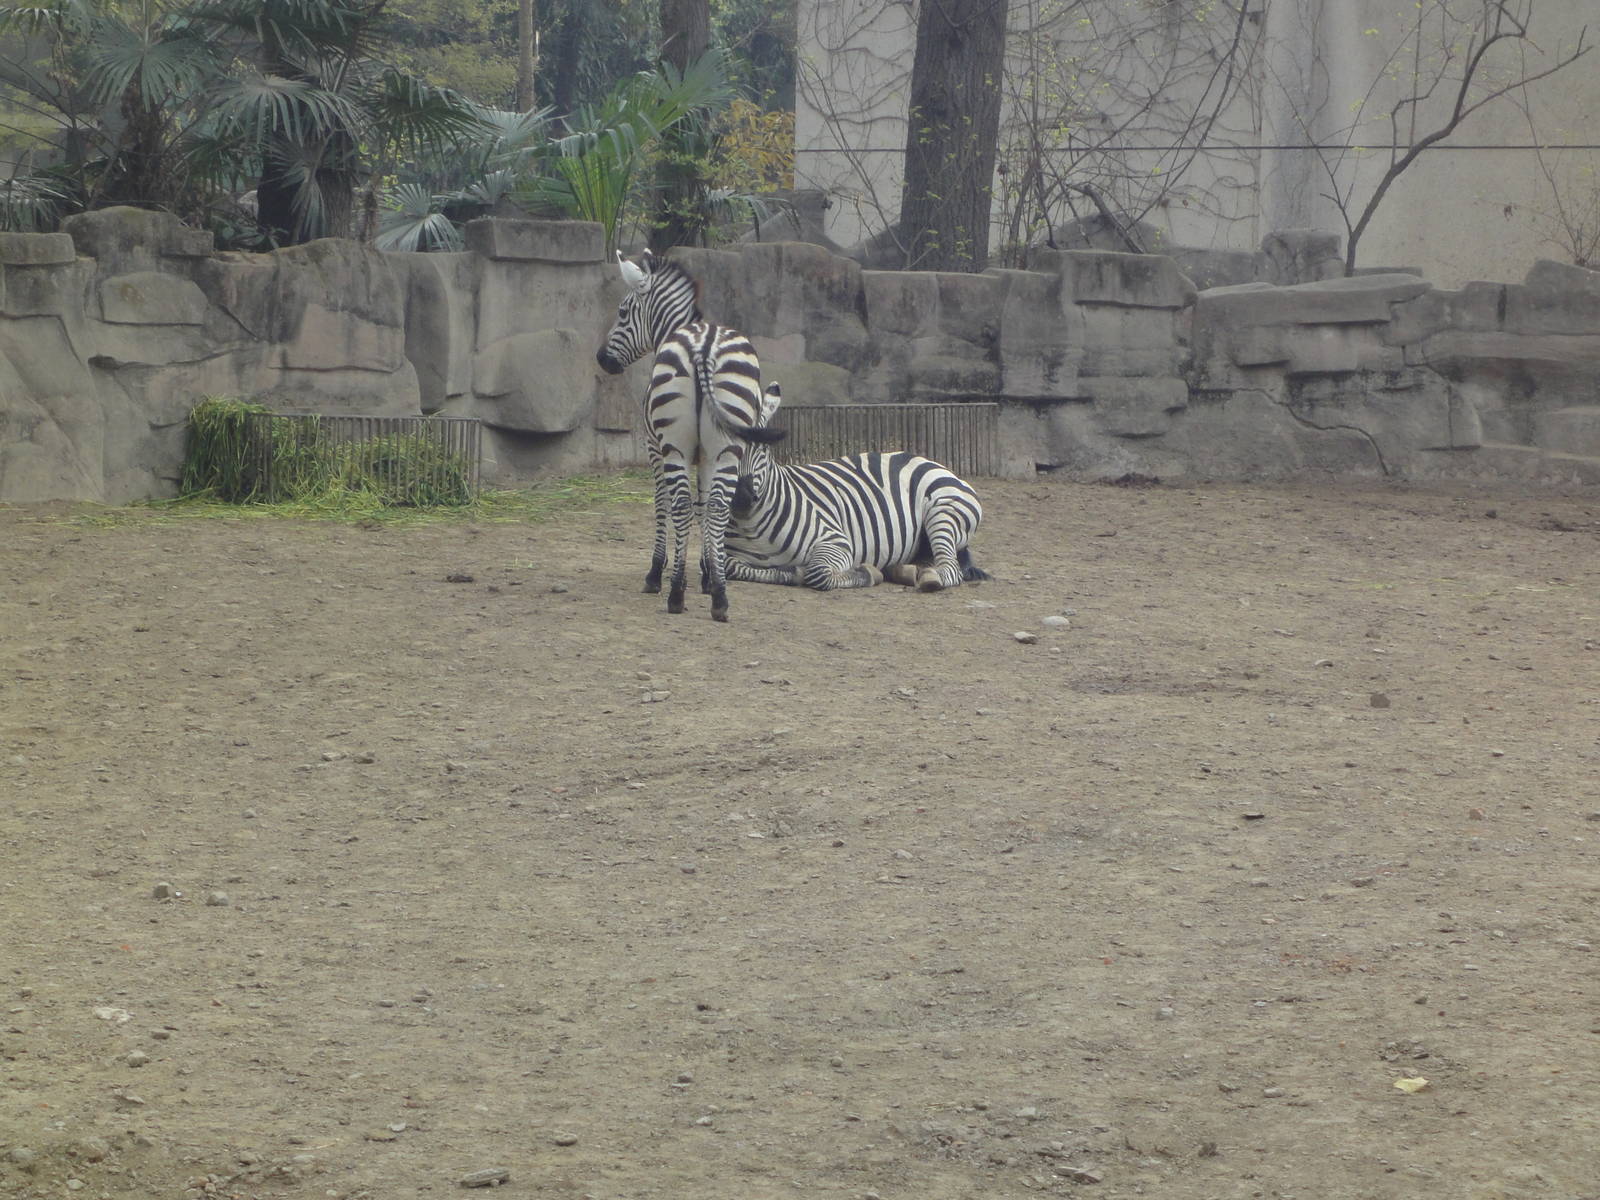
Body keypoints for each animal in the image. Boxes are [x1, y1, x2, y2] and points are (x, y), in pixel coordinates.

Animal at [595, 249, 782, 622]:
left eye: (622, 312)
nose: (601, 359)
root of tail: (704, 344)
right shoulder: (707, 454)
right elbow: (705, 504)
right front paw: (710, 575)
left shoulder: (654, 448)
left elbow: (664, 503)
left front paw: (657, 572)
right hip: (727, 444)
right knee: (720, 505)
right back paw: (720, 599)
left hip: (674, 446)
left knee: (678, 505)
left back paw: (675, 594)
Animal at [726, 383, 991, 592]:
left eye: (763, 448)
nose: (740, 498)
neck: (753, 525)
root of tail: (926, 459)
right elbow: (733, 568)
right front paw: (789, 572)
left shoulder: (837, 542)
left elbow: (817, 573)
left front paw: (866, 573)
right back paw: (903, 570)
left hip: (943, 512)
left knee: (950, 568)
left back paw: (928, 577)